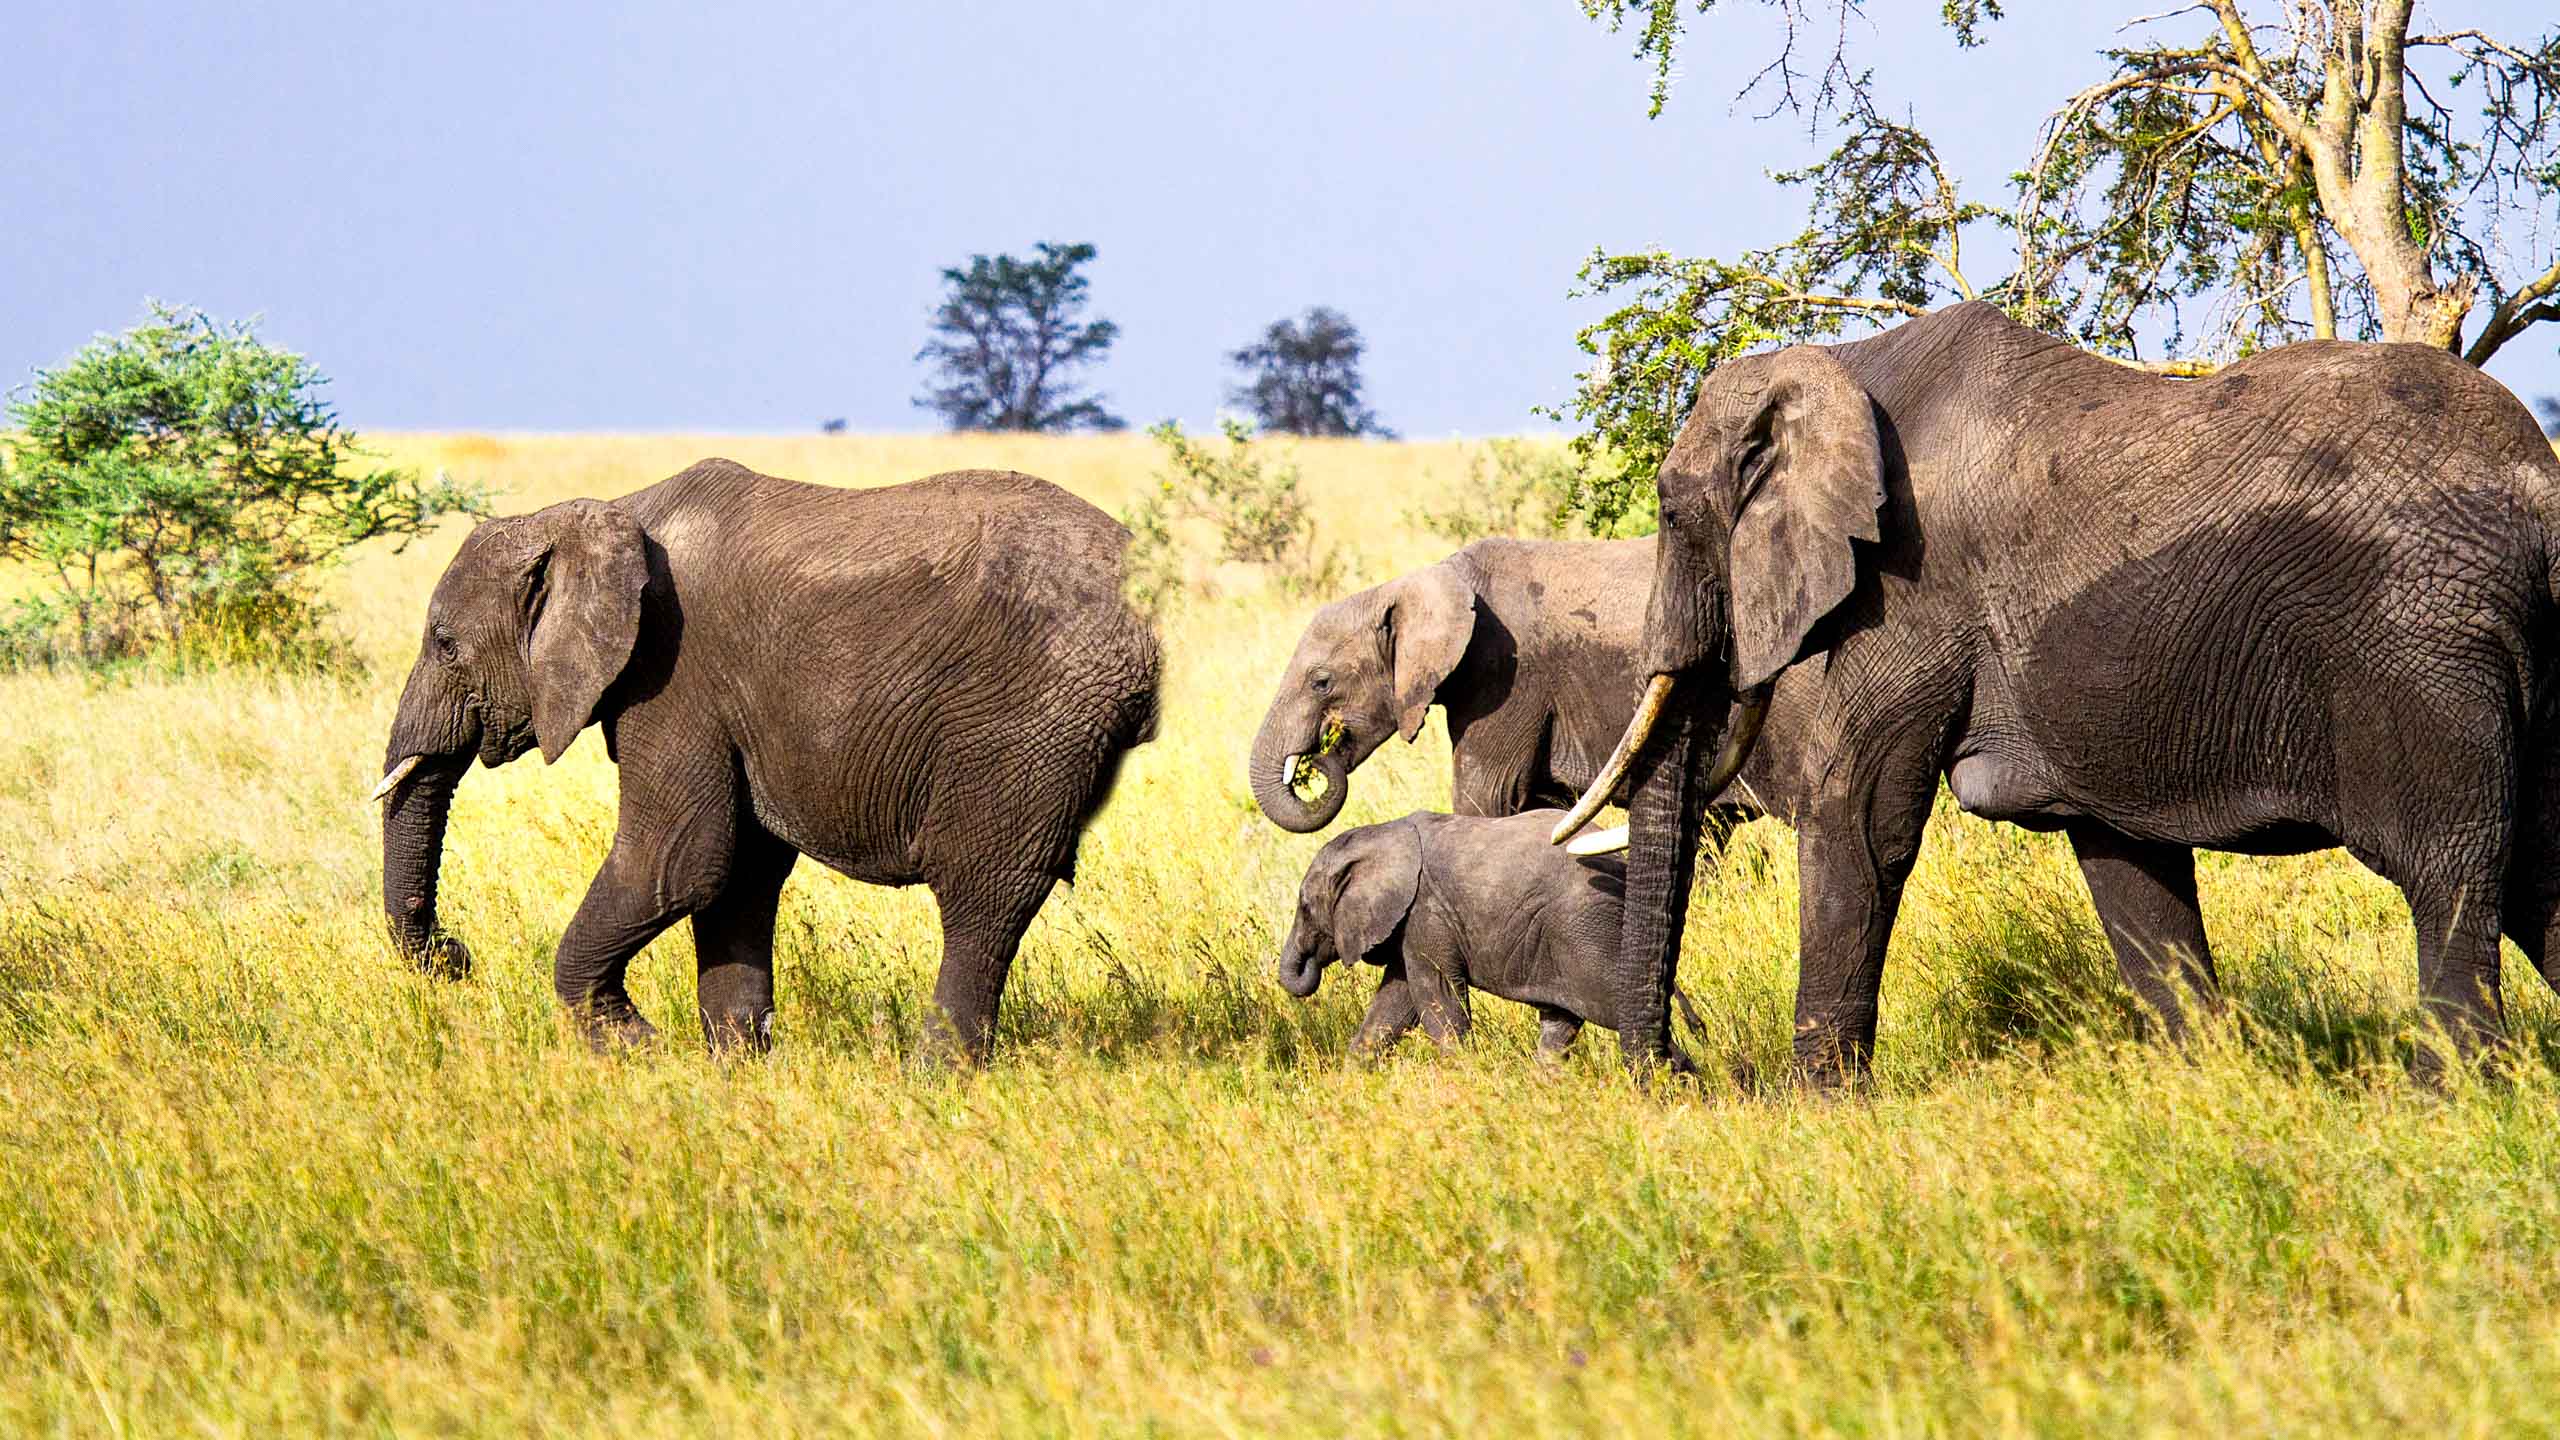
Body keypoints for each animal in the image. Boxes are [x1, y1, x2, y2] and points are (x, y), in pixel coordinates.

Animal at [376, 458, 1162, 1055]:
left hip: (1030, 718)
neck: (598, 517)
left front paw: (637, 1049)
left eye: (445, 645)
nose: (455, 956)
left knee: (983, 895)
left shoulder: (676, 673)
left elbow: (677, 861)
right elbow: (736, 875)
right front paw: (736, 1066)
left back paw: (936, 1078)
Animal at [1274, 809, 1699, 1065]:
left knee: (1612, 1007)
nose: (1308, 963)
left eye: (1305, 908)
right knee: (1559, 1026)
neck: (1384, 833)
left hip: (1585, 932)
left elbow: (1438, 1002)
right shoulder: (1410, 924)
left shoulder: (1426, 914)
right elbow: (1393, 1006)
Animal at [1546, 304, 2560, 1086]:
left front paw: (1820, 1112)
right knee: (2537, 877)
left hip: (2420, 644)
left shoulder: (1914, 590)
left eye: (1670, 512)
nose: (1677, 1073)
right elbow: (2126, 865)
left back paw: (2446, 1099)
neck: (1842, 362)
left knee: (2451, 873)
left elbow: (1862, 819)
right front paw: (2214, 1090)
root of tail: (2540, 491)